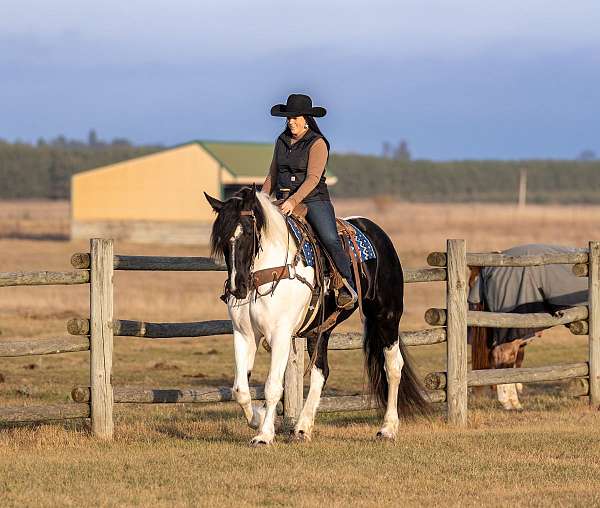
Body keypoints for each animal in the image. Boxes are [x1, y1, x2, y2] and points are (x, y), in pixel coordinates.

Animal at [205, 187, 426, 444]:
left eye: (248, 232)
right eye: (221, 239)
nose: (236, 288)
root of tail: (377, 232)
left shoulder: (280, 335)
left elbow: (272, 387)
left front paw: (264, 435)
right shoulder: (244, 334)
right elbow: (240, 389)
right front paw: (258, 419)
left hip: (387, 317)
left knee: (392, 367)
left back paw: (388, 428)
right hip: (319, 330)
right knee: (321, 372)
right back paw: (302, 428)